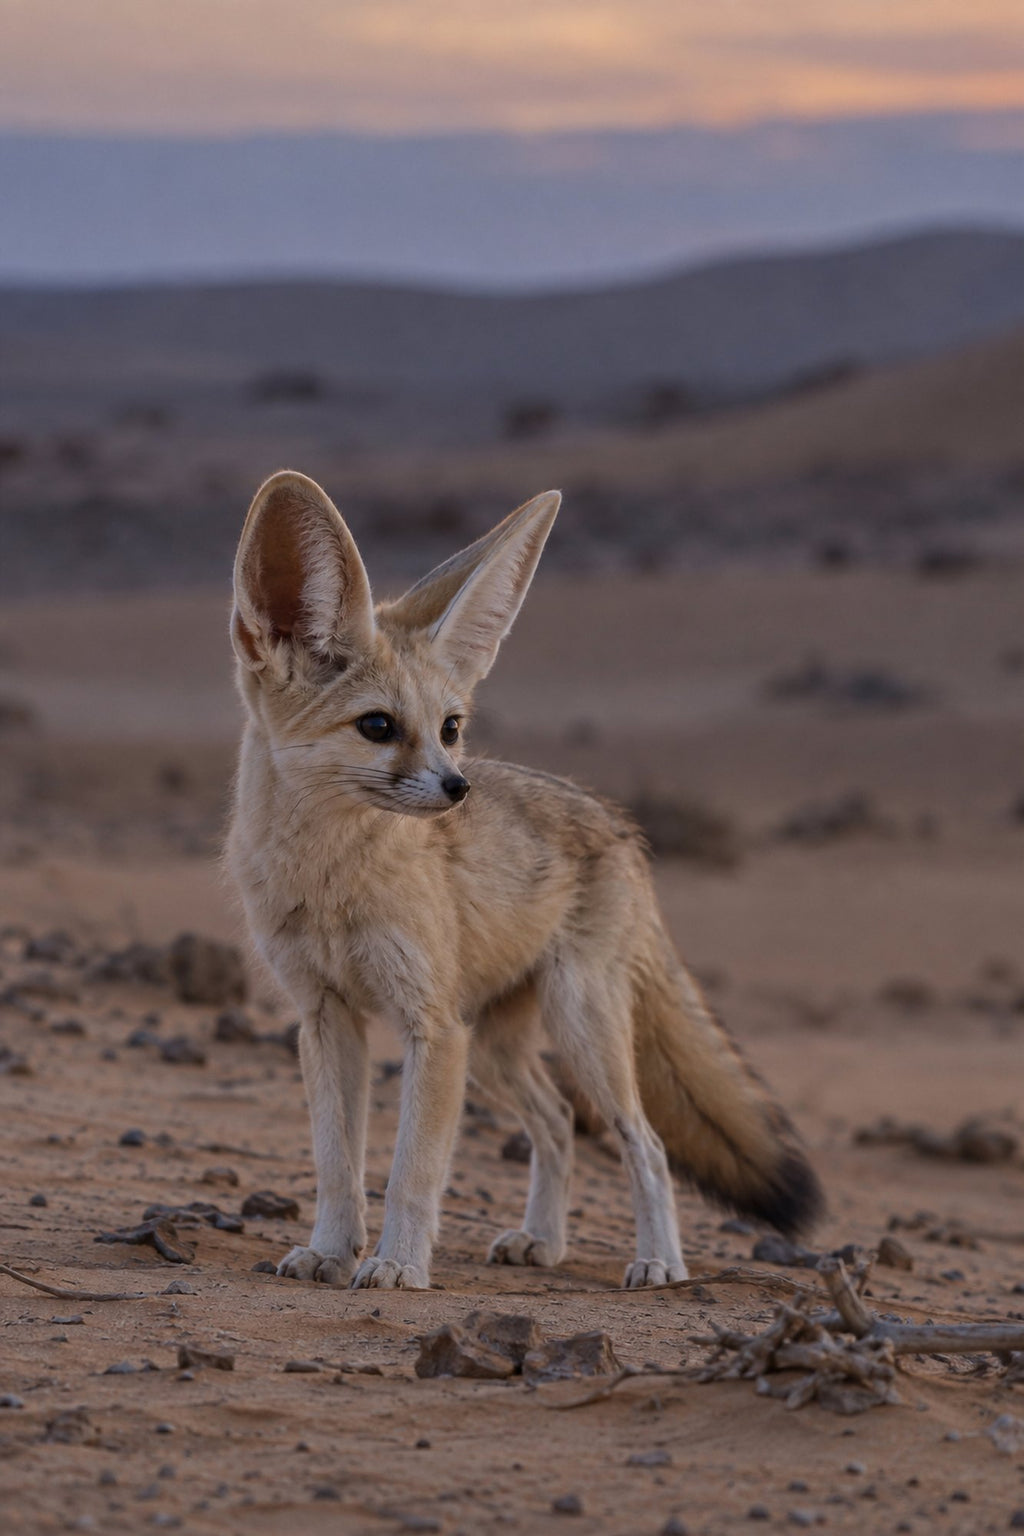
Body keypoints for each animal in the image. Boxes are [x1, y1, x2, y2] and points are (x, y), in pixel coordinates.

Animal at [227, 470, 823, 1291]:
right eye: (377, 727)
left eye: (450, 727)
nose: (458, 789)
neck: (331, 882)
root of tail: (619, 825)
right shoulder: (324, 1016)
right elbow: (335, 1164)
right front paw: (329, 1250)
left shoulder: (431, 1026)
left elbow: (413, 1170)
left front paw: (397, 1264)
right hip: (496, 1048)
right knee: (557, 1122)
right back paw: (543, 1240)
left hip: (576, 1028)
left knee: (645, 1142)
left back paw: (659, 1262)